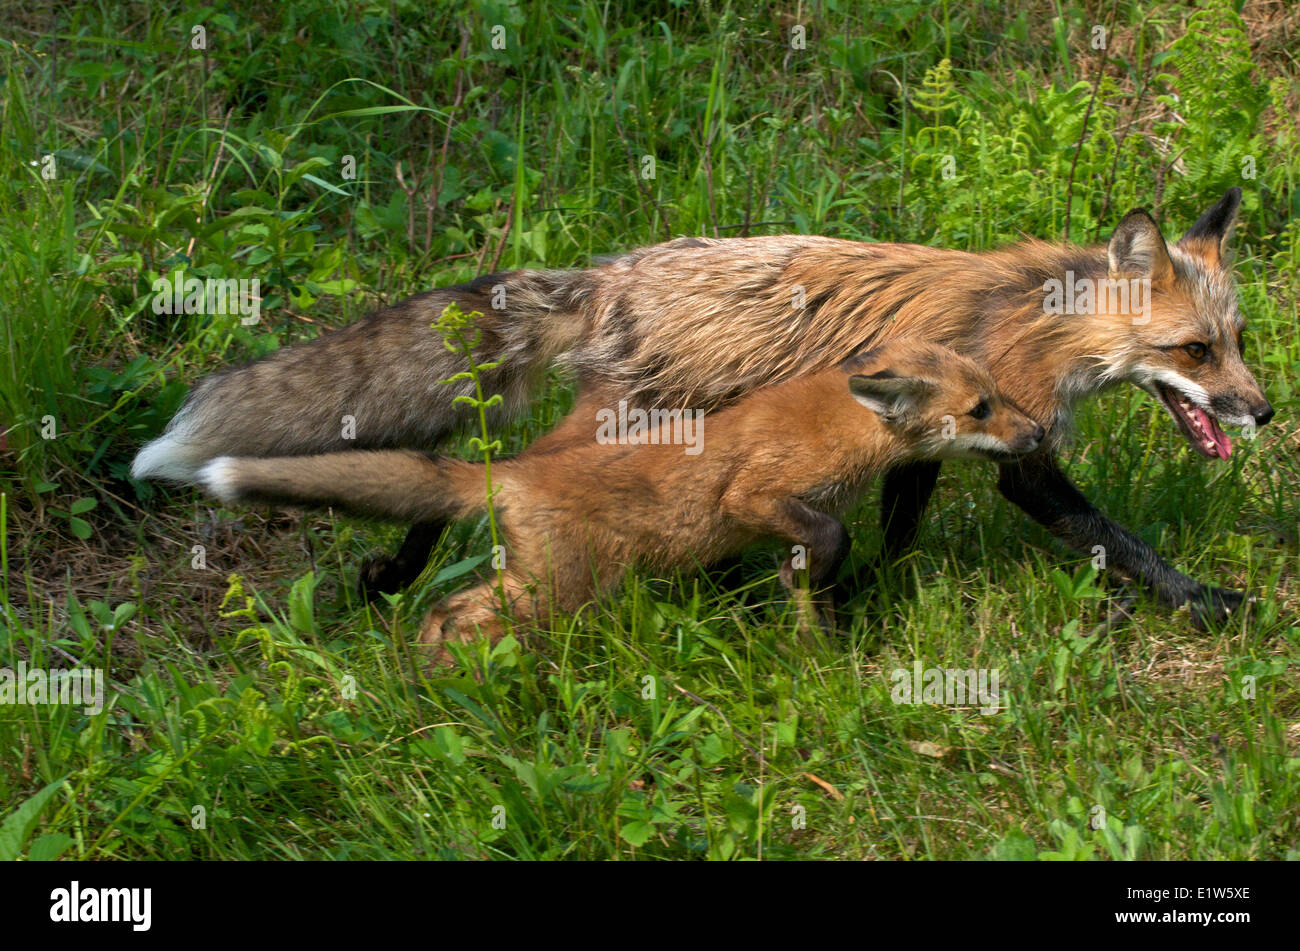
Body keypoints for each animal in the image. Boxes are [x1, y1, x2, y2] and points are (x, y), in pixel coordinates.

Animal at [195, 340, 1045, 659]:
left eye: (1000, 395)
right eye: (981, 409)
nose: (1037, 434)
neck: (837, 427)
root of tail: (511, 472)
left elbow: (814, 563)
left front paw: (809, 612)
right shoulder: (755, 493)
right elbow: (829, 536)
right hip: (556, 590)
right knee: (453, 608)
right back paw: (445, 674)